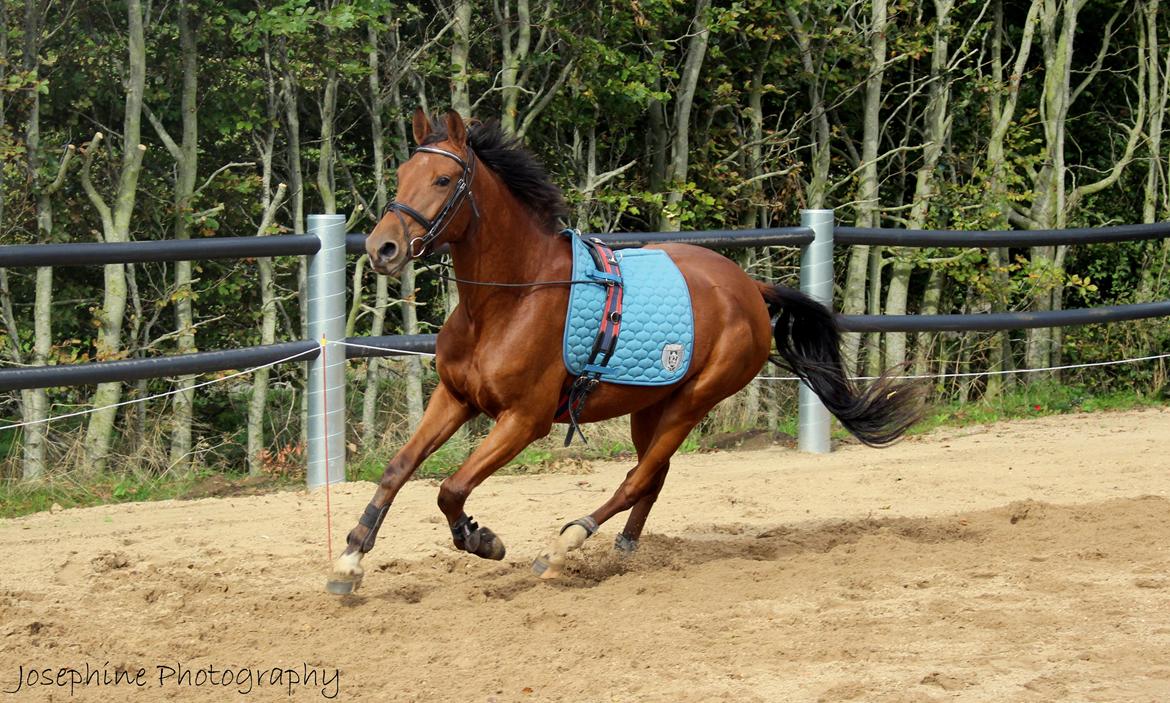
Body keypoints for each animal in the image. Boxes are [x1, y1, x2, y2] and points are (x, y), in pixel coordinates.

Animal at [325, 111, 917, 591]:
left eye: (443, 179)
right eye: (402, 175)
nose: (381, 248)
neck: (508, 300)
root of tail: (750, 289)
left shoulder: (524, 420)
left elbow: (451, 487)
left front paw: (482, 539)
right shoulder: (454, 397)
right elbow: (400, 469)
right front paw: (350, 560)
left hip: (693, 401)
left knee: (638, 477)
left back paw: (566, 544)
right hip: (648, 405)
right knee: (652, 477)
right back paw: (623, 551)